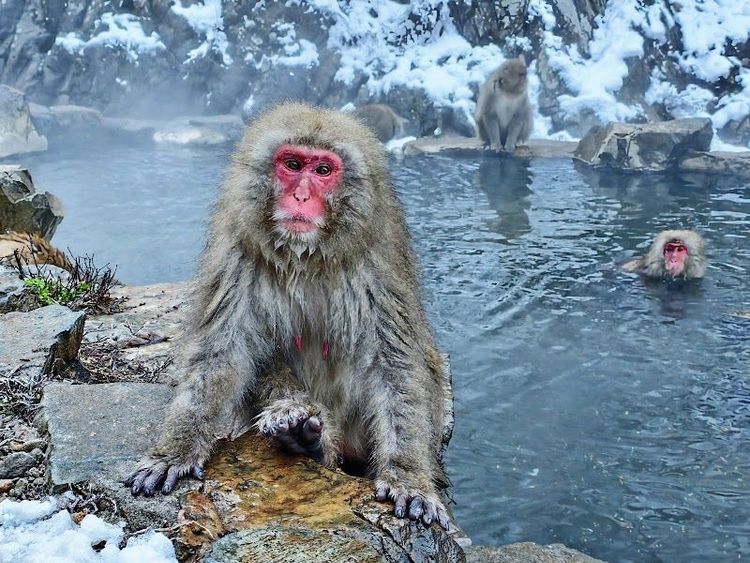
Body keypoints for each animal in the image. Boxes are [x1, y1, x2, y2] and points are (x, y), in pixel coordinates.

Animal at [125, 102, 452, 529]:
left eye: (324, 171)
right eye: (293, 164)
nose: (300, 195)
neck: (306, 258)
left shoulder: (378, 270)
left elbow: (396, 363)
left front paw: (409, 477)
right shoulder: (237, 256)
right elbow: (220, 354)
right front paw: (175, 450)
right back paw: (300, 432)